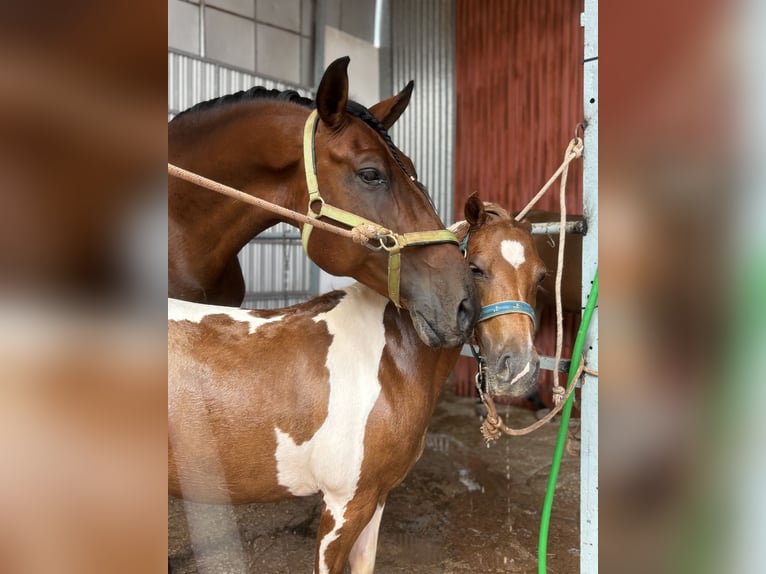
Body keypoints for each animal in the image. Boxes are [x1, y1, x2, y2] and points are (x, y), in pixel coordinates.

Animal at [171, 195, 548, 574]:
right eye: (475, 268)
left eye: (541, 275)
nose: (519, 369)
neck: (386, 360)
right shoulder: (345, 505)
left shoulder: (376, 496)